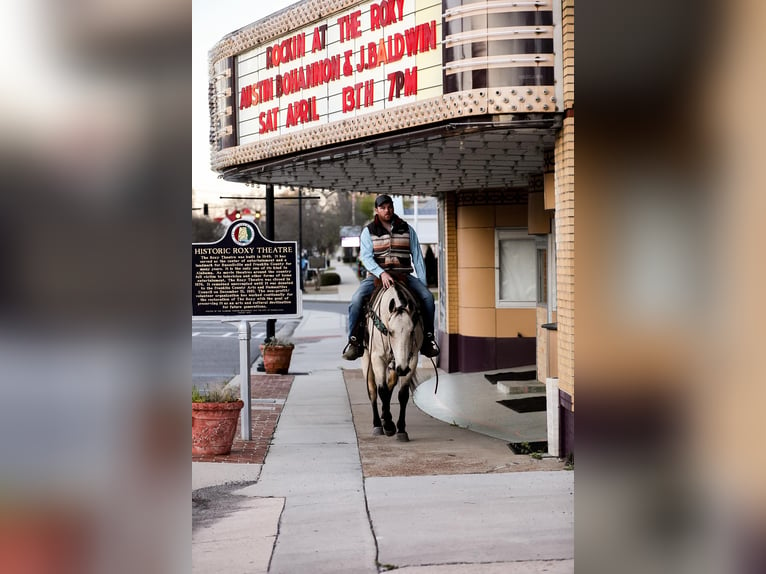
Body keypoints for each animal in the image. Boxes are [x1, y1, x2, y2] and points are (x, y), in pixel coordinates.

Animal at [362, 282, 426, 444]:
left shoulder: (411, 360)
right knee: (372, 390)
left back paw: (385, 417)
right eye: (390, 332)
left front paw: (401, 429)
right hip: (366, 359)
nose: (402, 369)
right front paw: (389, 427)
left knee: (390, 384)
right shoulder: (377, 358)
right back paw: (378, 424)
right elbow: (381, 390)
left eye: (411, 332)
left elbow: (402, 394)